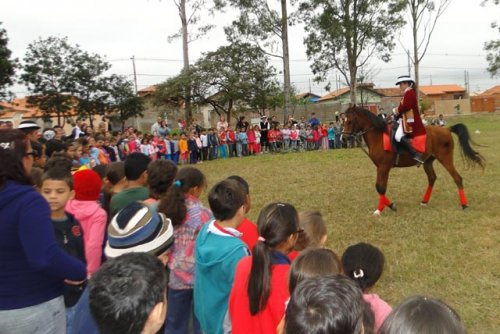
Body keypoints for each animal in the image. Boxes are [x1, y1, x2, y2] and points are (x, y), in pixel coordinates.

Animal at [344, 107, 484, 217]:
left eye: (349, 121)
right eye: (343, 120)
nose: (344, 137)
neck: (378, 136)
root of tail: (446, 129)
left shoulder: (384, 167)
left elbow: (381, 187)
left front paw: (383, 209)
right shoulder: (380, 167)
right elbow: (379, 187)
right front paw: (387, 207)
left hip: (445, 159)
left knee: (457, 178)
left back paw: (464, 205)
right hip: (428, 162)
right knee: (432, 178)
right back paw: (424, 201)